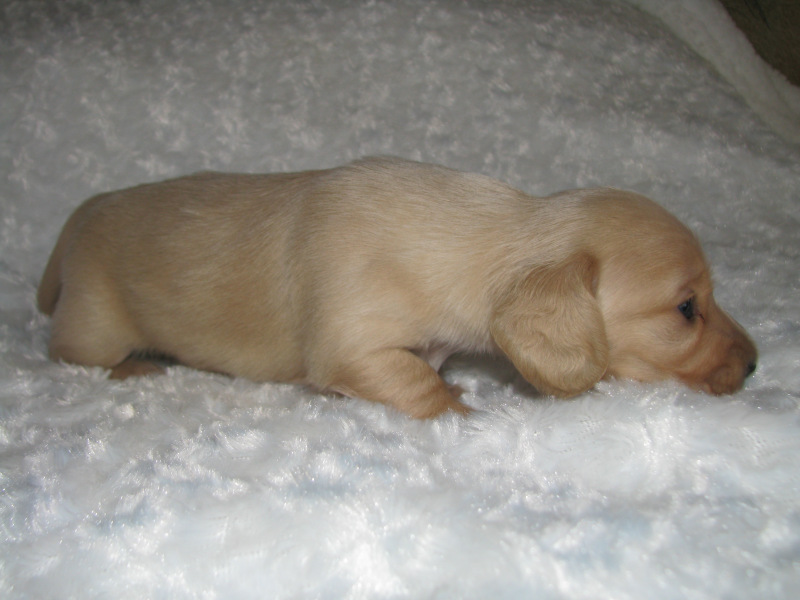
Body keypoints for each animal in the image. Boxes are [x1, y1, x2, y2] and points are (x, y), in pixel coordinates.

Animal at [37, 157, 757, 417]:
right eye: (686, 309)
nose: (756, 365)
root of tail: (85, 210)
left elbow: (431, 365)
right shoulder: (354, 347)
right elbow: (415, 383)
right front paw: (460, 411)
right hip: (94, 324)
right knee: (66, 351)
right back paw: (132, 368)